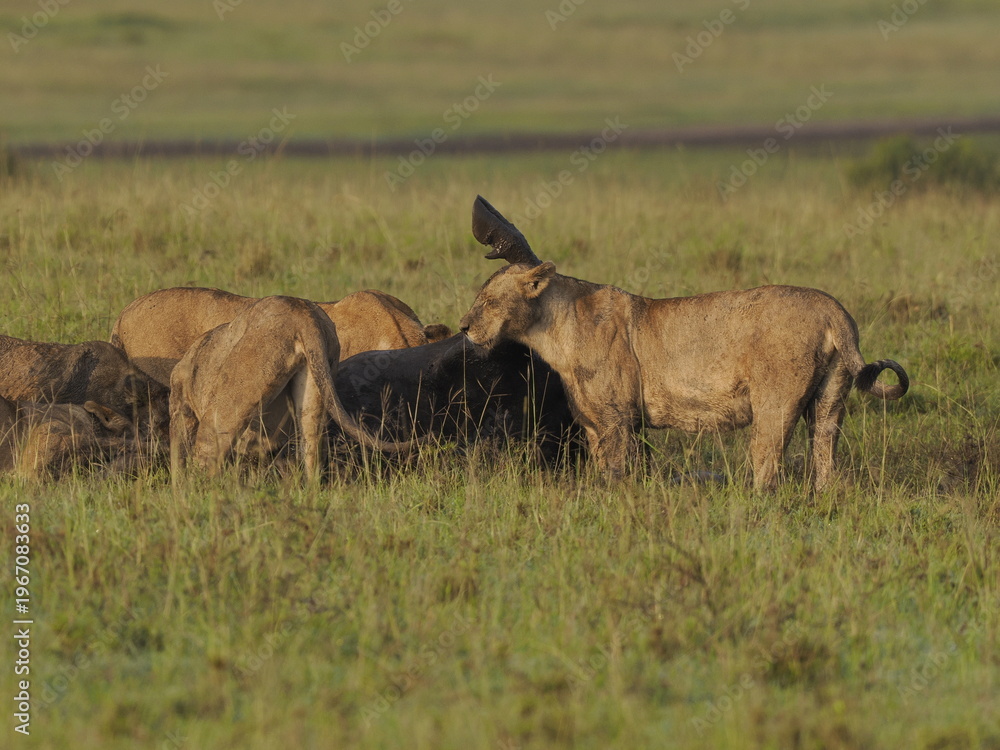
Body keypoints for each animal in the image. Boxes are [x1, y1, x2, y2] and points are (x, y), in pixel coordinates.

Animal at [169, 295, 413, 480]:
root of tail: (302, 315)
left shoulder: (181, 405)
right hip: (315, 388)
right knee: (311, 451)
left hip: (231, 399)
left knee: (209, 454)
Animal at [458, 196, 909, 491]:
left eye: (489, 300)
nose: (462, 326)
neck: (554, 328)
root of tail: (836, 311)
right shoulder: (595, 421)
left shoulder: (615, 418)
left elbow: (616, 475)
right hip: (830, 399)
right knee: (824, 456)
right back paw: (822, 498)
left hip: (775, 402)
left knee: (767, 463)